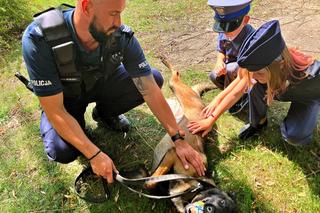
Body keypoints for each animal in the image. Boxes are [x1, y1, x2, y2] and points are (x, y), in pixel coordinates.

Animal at [146, 57, 236, 212]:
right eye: (220, 202)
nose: (208, 208)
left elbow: (153, 183)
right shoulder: (173, 153)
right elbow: (151, 181)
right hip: (178, 88)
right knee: (175, 74)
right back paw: (165, 60)